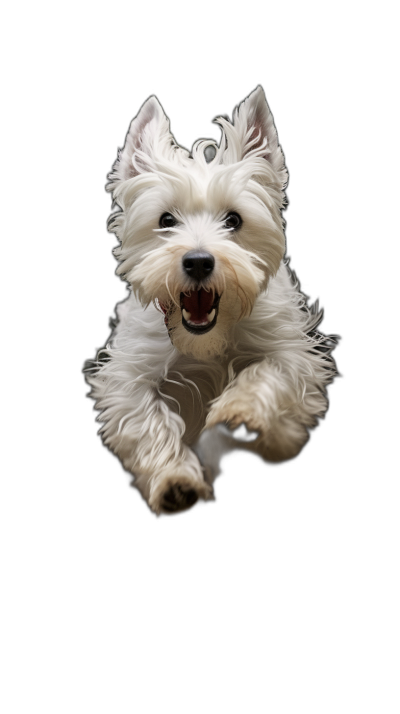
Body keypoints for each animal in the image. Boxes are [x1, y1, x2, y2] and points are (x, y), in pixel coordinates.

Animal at [86, 87, 336, 512]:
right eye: (166, 220)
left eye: (234, 220)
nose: (199, 261)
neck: (205, 341)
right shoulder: (128, 374)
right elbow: (148, 420)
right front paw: (174, 480)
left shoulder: (290, 349)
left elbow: (266, 372)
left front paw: (240, 413)